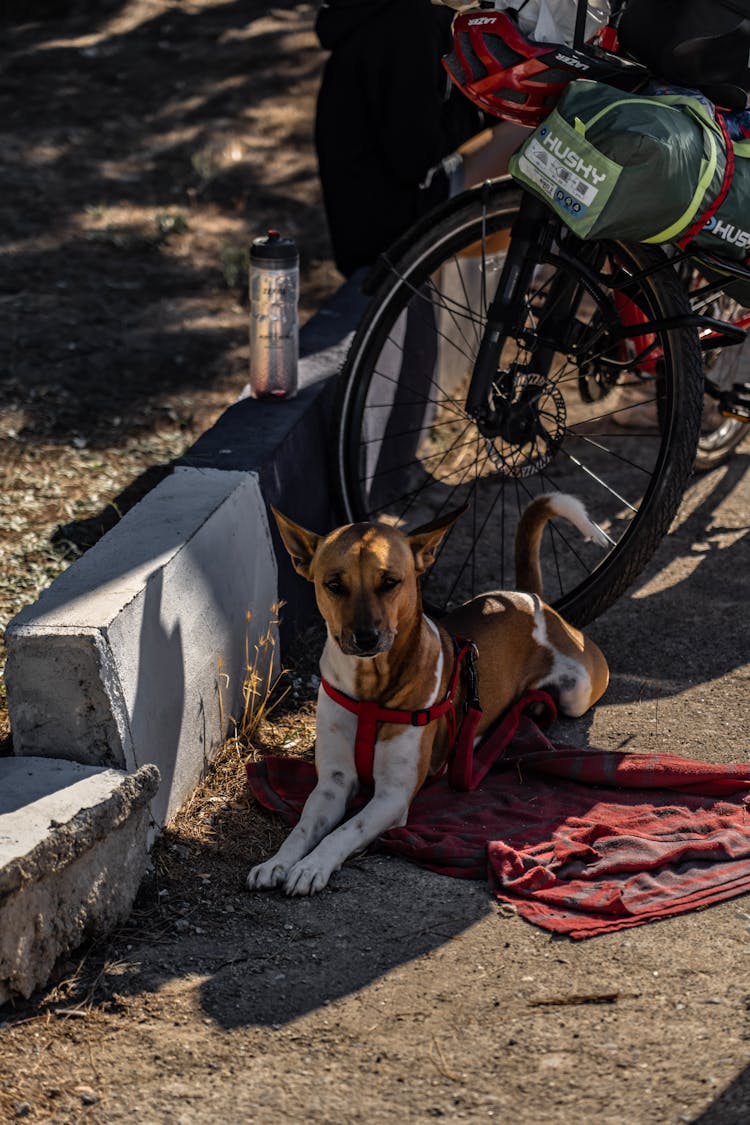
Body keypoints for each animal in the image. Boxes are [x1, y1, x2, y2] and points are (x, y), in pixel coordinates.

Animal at [246, 492, 611, 895]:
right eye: (334, 584)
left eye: (390, 581)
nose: (366, 637)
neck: (370, 689)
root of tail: (527, 596)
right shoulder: (332, 783)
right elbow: (303, 828)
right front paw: (277, 862)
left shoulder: (392, 795)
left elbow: (344, 831)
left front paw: (313, 866)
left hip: (578, 692)